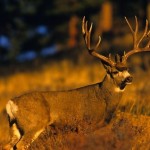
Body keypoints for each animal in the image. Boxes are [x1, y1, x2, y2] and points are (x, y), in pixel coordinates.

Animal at [3, 16, 150, 149]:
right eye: (114, 71)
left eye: (127, 68)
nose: (130, 78)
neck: (103, 99)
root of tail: (11, 103)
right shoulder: (85, 123)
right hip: (34, 123)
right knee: (20, 145)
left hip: (14, 126)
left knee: (8, 145)